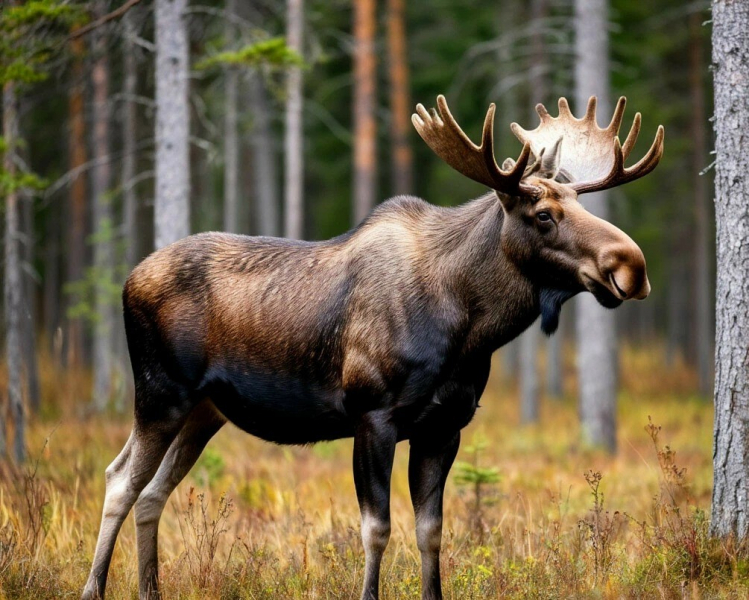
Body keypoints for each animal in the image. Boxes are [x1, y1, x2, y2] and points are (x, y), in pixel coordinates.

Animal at [82, 95, 663, 600]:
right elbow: (376, 528)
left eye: (577, 201)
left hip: (205, 410)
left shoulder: (444, 426)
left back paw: (150, 590)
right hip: (160, 393)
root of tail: (128, 281)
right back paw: (94, 589)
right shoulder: (372, 415)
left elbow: (431, 531)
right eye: (543, 214)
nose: (632, 265)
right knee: (119, 481)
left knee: (152, 492)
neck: (469, 328)